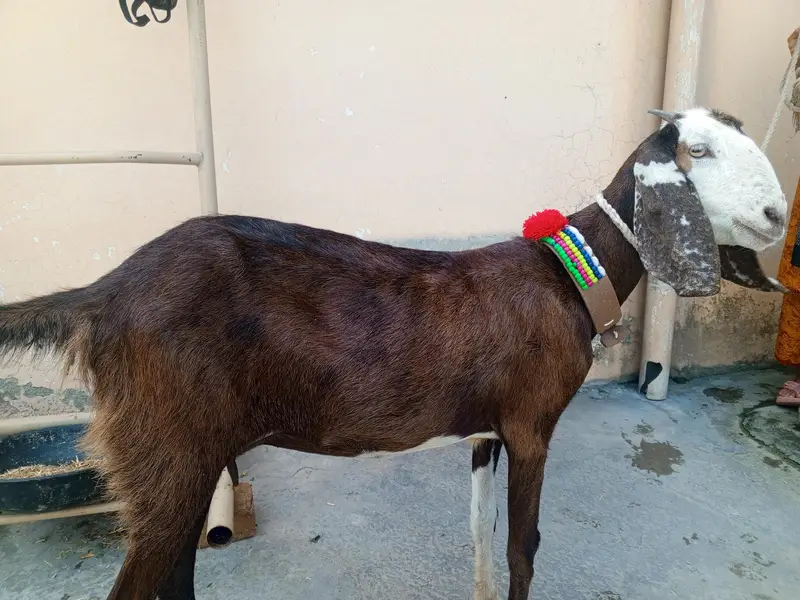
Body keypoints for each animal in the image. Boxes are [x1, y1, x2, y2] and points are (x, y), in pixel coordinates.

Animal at [0, 107, 788, 600]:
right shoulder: (532, 424)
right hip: (166, 449)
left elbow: (480, 535)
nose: (778, 215)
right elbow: (523, 546)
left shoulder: (487, 431)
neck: (565, 274)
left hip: (186, 455)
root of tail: (105, 293)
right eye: (699, 152)